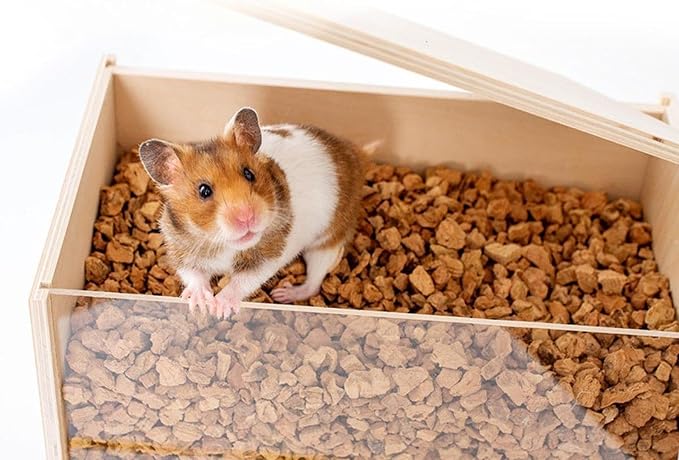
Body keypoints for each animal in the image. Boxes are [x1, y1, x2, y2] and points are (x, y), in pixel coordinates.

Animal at [139, 107, 376, 318]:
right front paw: (201, 303)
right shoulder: (180, 249)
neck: (224, 246)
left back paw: (283, 294)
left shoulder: (269, 256)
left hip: (328, 240)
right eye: (204, 191)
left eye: (249, 174)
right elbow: (193, 274)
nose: (247, 217)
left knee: (314, 281)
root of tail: (353, 156)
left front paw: (219, 308)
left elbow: (242, 282)